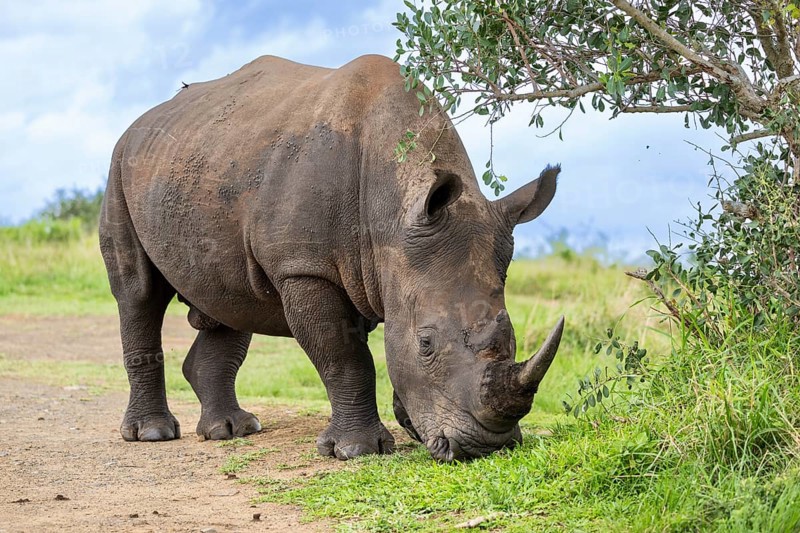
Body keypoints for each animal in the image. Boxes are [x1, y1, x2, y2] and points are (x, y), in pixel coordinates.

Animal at [99, 54, 564, 462]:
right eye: (426, 343)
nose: (487, 447)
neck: (392, 214)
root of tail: (142, 123)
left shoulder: (387, 265)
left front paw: (405, 425)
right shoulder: (304, 268)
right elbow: (344, 354)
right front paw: (357, 450)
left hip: (205, 166)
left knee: (230, 299)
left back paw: (232, 430)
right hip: (120, 165)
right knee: (138, 294)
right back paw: (152, 434)